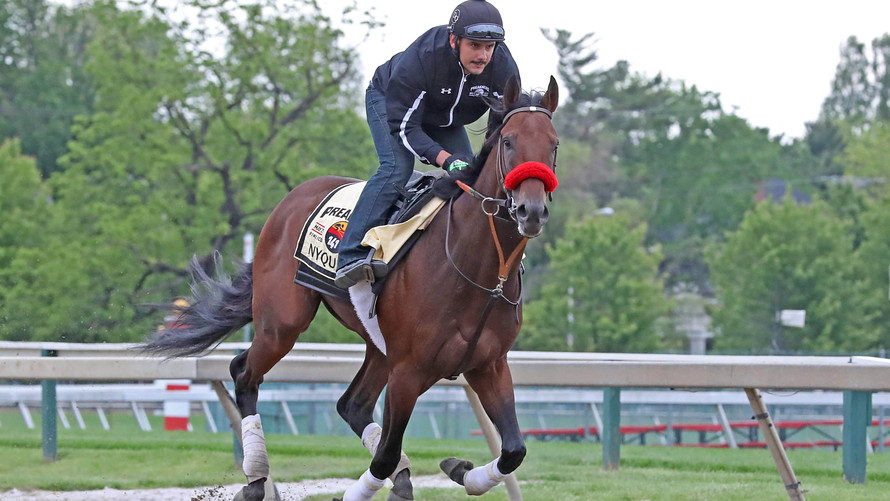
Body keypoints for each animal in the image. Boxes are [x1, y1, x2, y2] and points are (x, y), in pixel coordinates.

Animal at [143, 75, 560, 500]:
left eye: (554, 143)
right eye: (508, 141)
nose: (530, 211)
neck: (479, 269)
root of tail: (292, 197)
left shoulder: (488, 365)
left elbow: (514, 450)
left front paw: (460, 470)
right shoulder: (409, 371)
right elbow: (385, 456)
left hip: (378, 346)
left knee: (352, 404)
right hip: (283, 323)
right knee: (244, 372)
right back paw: (256, 479)